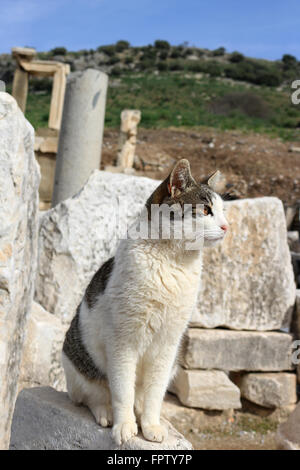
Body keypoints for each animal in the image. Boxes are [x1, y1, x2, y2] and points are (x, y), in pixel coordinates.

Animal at [62, 158, 229, 444]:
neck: (173, 263)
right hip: (79, 363)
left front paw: (150, 425)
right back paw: (106, 412)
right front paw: (125, 426)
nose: (227, 226)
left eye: (221, 211)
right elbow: (122, 391)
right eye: (206, 210)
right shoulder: (123, 343)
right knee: (93, 394)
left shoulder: (168, 345)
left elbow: (154, 394)